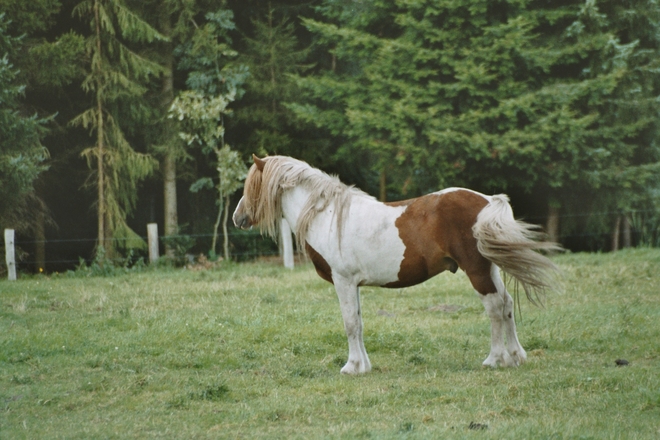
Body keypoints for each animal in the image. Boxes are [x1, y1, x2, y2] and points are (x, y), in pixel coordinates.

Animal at [233, 155, 564, 374]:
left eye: (251, 185)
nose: (238, 217)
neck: (327, 214)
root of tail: (487, 200)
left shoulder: (343, 280)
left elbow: (349, 323)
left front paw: (352, 367)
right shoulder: (353, 284)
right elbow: (359, 322)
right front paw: (364, 365)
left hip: (477, 270)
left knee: (495, 308)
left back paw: (495, 359)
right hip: (490, 268)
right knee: (506, 305)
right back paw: (516, 356)